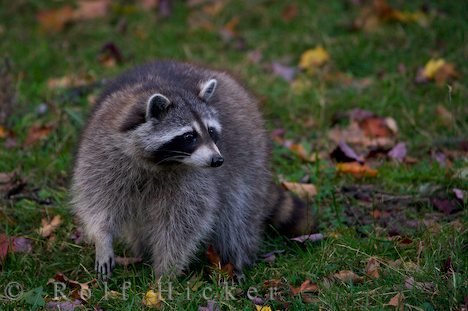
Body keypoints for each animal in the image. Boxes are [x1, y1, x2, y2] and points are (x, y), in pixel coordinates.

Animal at [70, 60, 314, 278]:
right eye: (189, 136)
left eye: (211, 131)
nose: (217, 161)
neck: (159, 163)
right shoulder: (105, 152)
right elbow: (97, 199)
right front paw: (102, 239)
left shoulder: (196, 179)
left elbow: (184, 221)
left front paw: (166, 271)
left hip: (251, 161)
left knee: (238, 215)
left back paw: (237, 260)